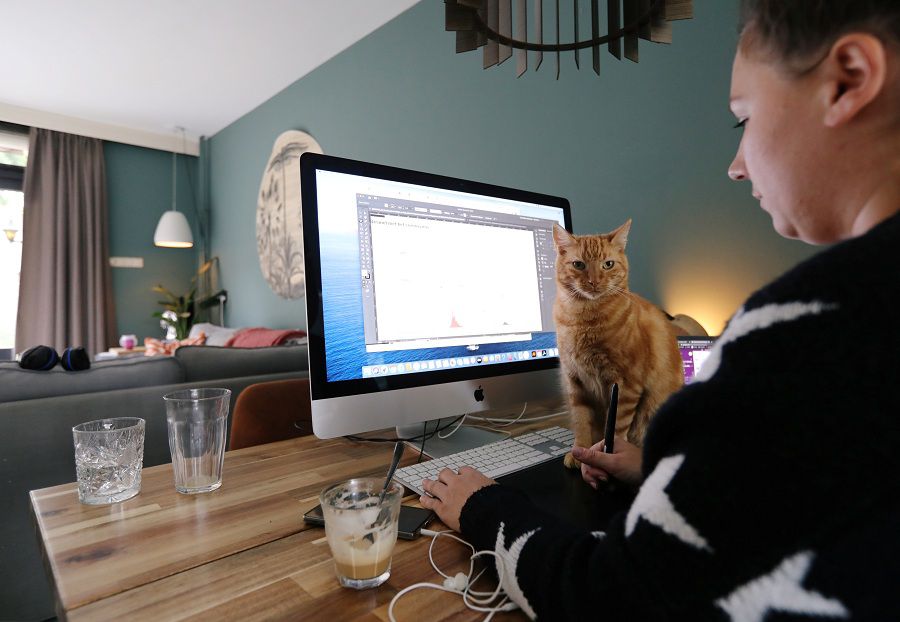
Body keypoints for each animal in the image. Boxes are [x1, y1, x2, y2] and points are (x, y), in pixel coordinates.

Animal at [552, 222, 684, 470]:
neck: (583, 317)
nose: (594, 282)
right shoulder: (575, 383)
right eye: (579, 264)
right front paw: (579, 452)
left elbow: (618, 427)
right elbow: (581, 422)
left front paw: (609, 455)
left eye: (608, 264)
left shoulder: (627, 385)